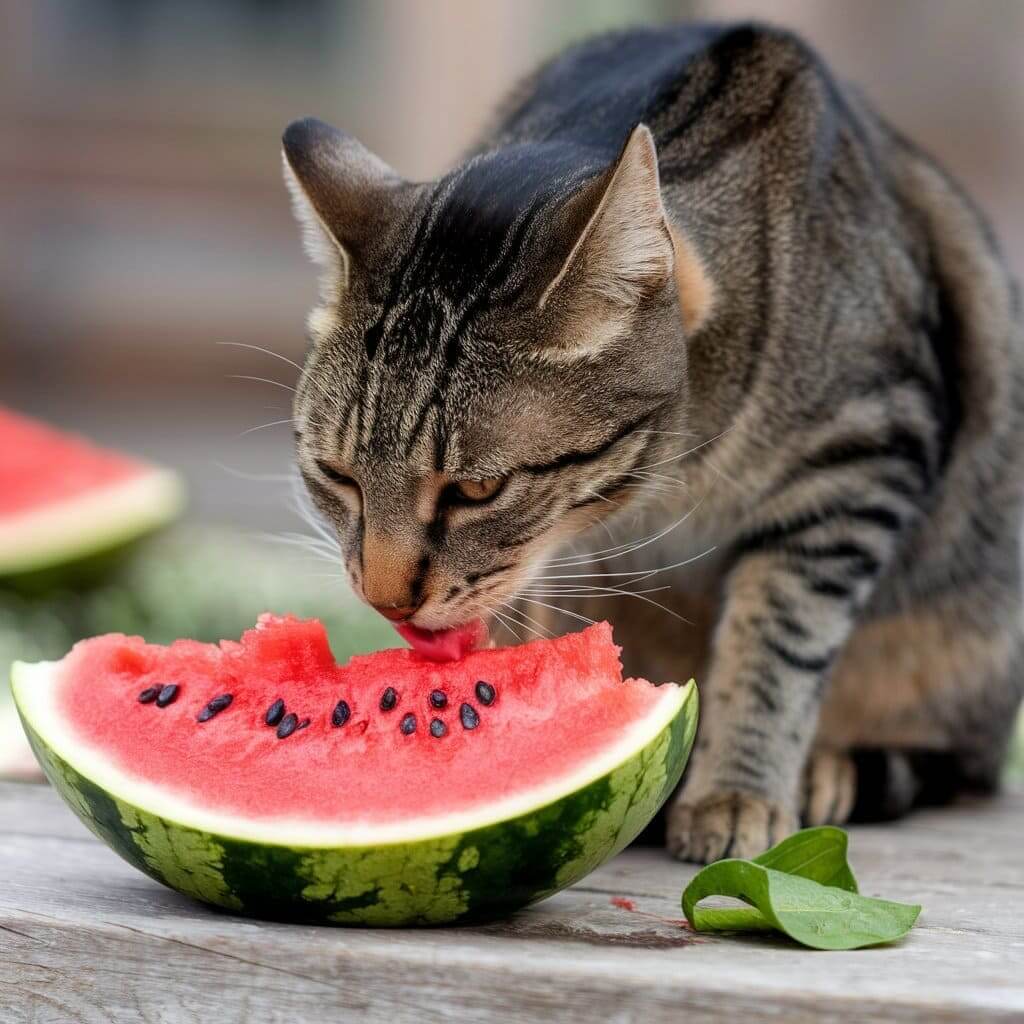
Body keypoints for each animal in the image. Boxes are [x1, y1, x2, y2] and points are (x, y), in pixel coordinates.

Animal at [280, 19, 1024, 860]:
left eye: (477, 490)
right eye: (337, 476)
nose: (384, 598)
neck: (676, 473)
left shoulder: (862, 456)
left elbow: (775, 646)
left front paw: (736, 791)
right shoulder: (566, 569)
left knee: (952, 758)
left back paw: (826, 771)